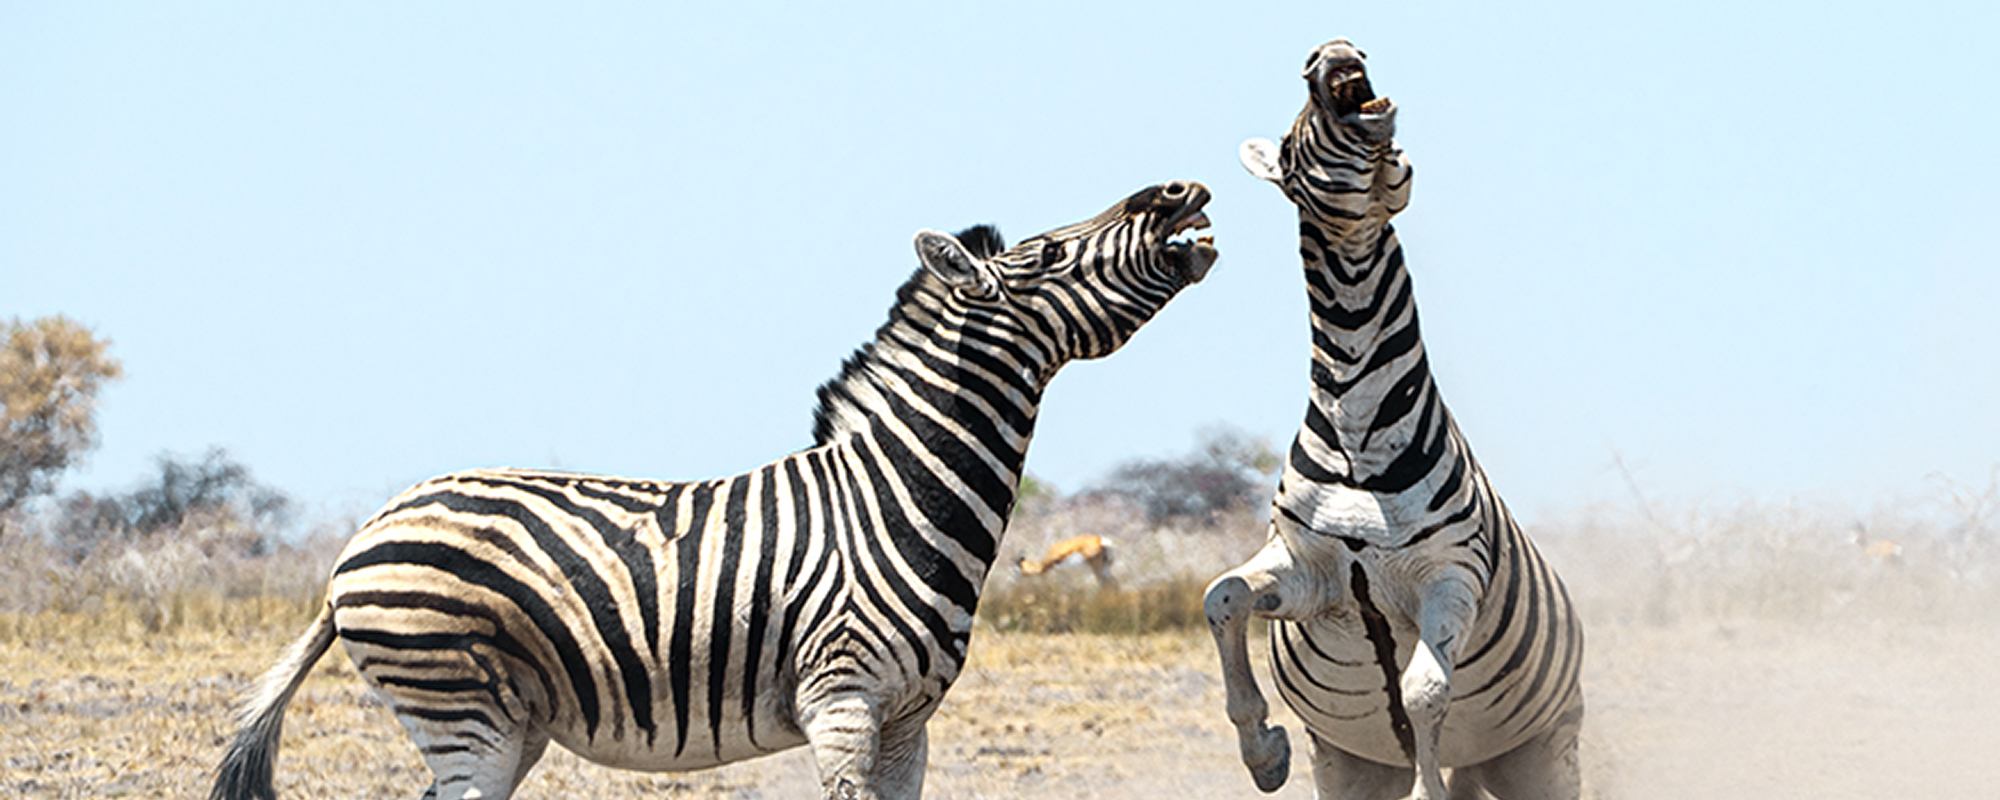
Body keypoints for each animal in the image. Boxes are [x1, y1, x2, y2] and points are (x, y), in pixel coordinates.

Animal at [210, 180, 1218, 800]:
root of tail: (359, 541)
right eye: (1046, 256)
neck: (896, 495)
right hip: (463, 709)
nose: (1177, 190)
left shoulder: (908, 721)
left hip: (507, 719)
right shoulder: (842, 701)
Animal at [1202, 40, 1584, 799]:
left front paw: (1424, 789)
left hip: (1546, 753)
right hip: (1346, 764)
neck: (1357, 420)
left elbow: (1424, 692)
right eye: (1290, 142)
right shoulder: (1305, 570)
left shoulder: (1451, 573)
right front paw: (1262, 749)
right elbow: (1222, 595)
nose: (1329, 49)